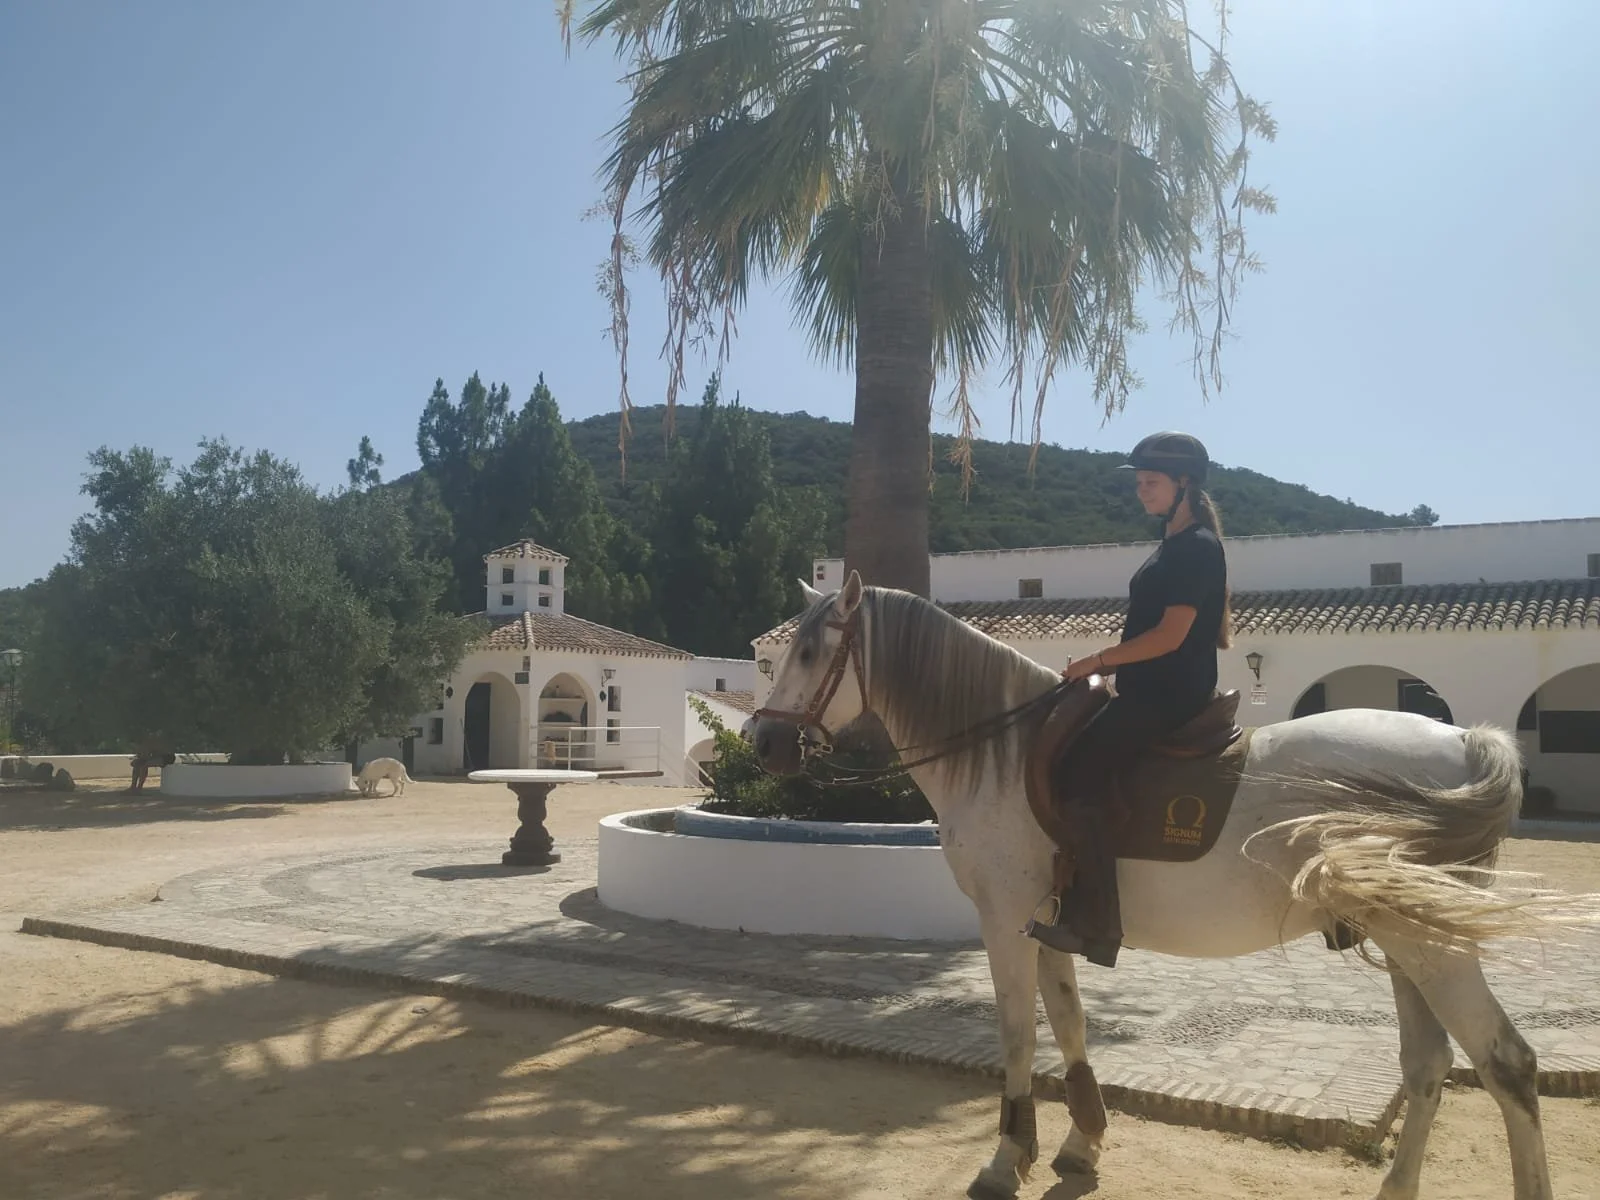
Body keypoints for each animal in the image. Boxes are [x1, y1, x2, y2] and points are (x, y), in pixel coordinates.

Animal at [750, 571, 1593, 1200]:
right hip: (1403, 938)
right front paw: (1082, 1141)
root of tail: (1462, 741)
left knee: (1506, 1064)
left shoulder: (1004, 918)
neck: (1002, 753)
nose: (765, 744)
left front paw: (1005, 1158)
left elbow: (1019, 1034)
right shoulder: (1049, 921)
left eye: (812, 650)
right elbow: (1070, 1023)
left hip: (1429, 941)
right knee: (1427, 1066)